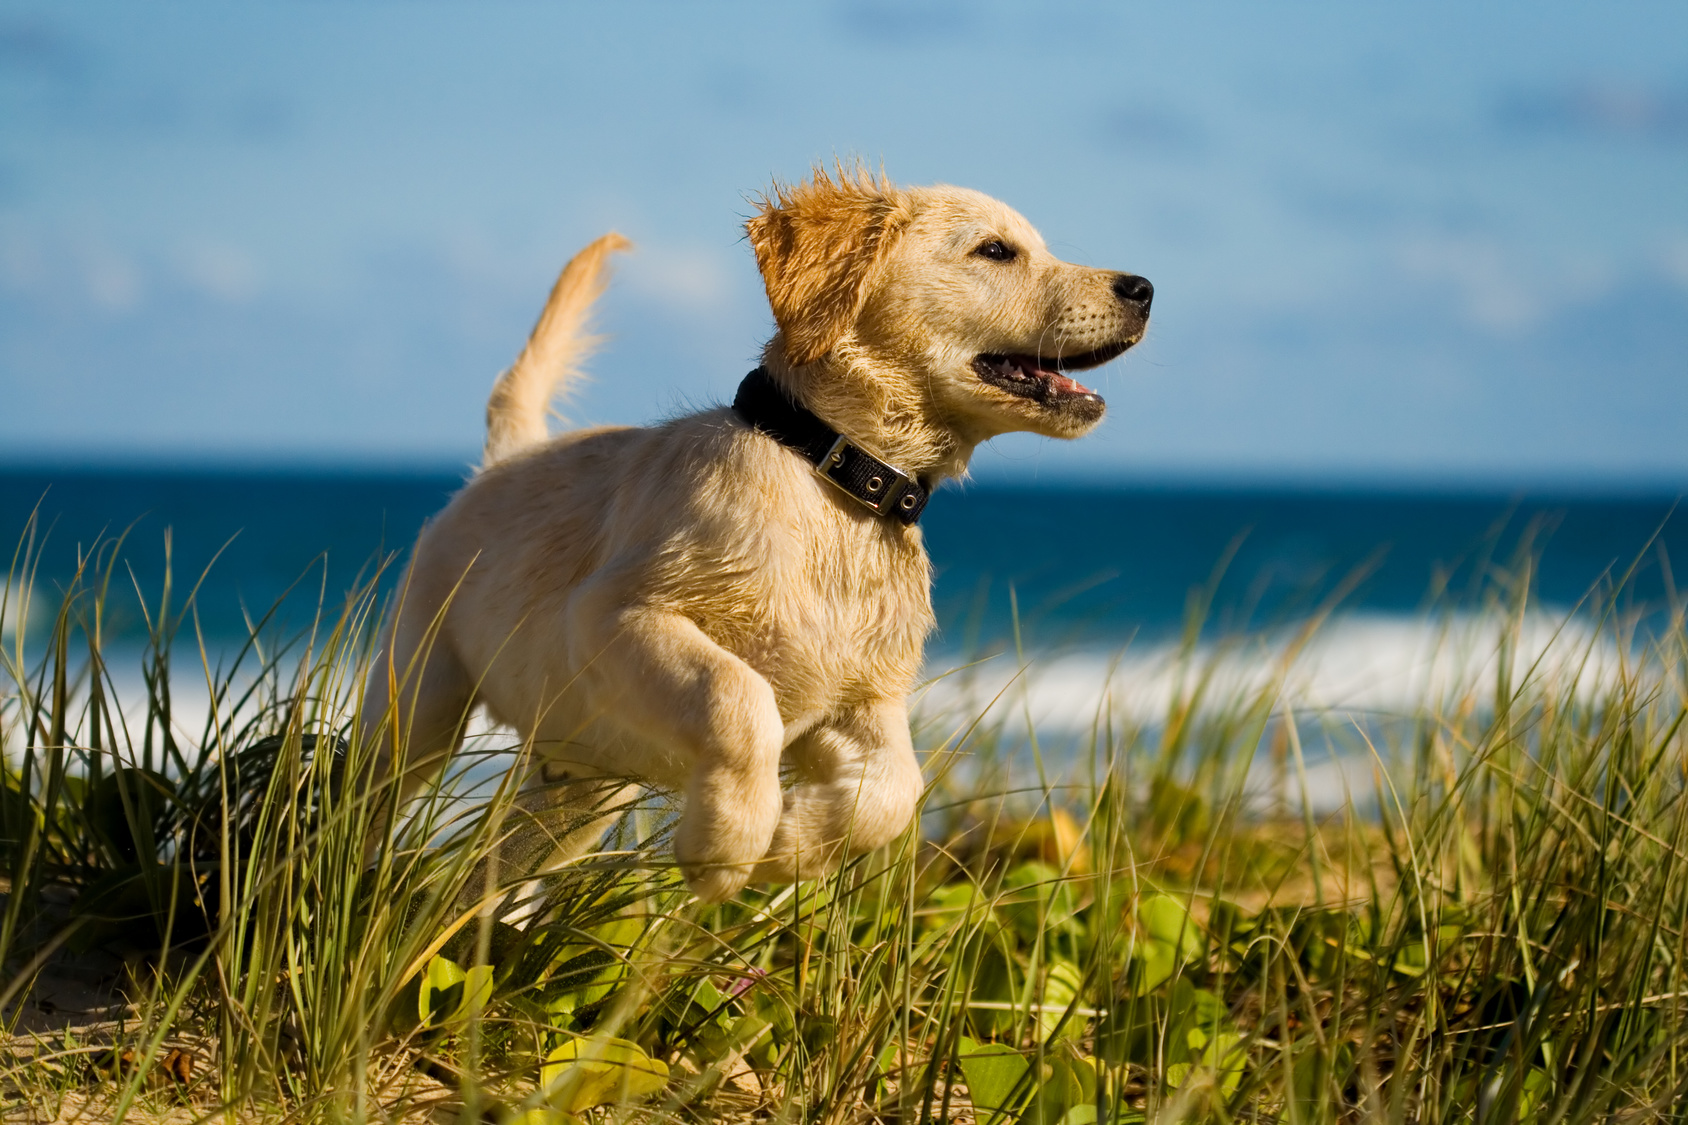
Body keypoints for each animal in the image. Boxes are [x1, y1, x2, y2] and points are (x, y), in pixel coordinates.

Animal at [356, 166, 1147, 898]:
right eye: (996, 250)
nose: (1143, 288)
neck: (835, 478)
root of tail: (507, 458)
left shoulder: (862, 698)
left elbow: (895, 789)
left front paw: (791, 846)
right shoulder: (616, 614)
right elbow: (739, 700)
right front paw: (726, 845)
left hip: (580, 789)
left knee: (478, 882)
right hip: (419, 700)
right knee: (364, 797)